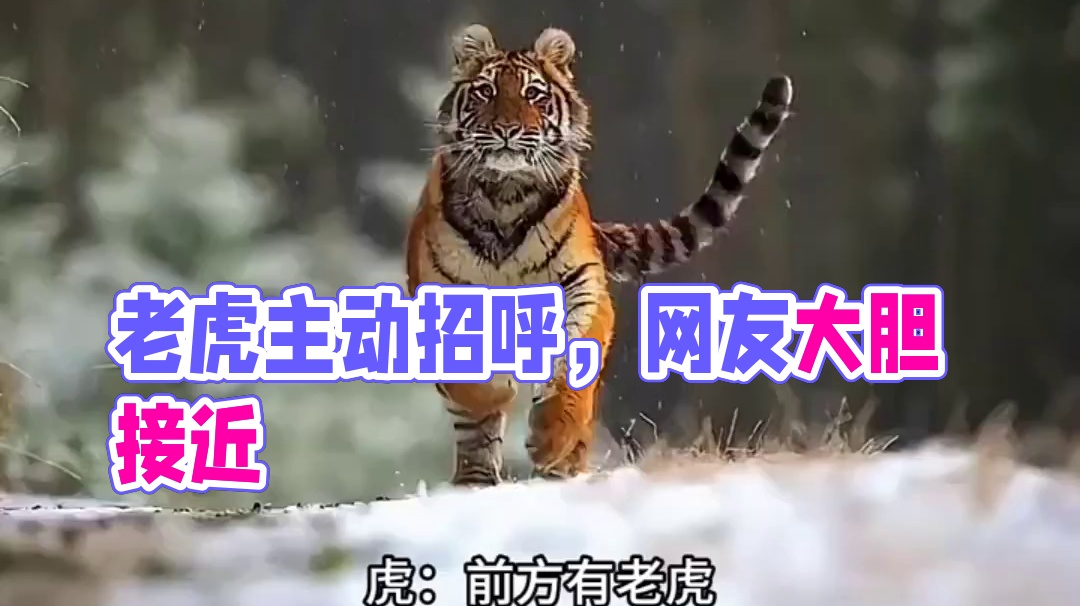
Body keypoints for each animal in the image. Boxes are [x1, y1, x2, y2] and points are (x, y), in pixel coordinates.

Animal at [406, 23, 795, 486]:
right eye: (486, 91)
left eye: (533, 93)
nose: (507, 129)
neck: (507, 194)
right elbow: (471, 384)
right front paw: (491, 397)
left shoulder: (580, 285)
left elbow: (573, 364)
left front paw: (552, 437)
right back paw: (475, 477)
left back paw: (561, 465)